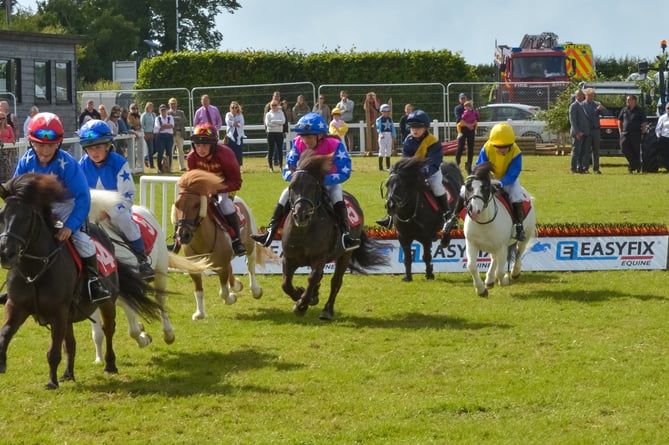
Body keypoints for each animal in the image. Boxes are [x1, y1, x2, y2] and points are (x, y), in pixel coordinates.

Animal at [0, 173, 161, 388]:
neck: (35, 271)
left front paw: (51, 382)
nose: (5, 253)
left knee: (108, 329)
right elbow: (5, 333)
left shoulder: (58, 312)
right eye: (1, 216)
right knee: (71, 343)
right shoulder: (17, 306)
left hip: (106, 302)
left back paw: (110, 365)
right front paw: (2, 363)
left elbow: (53, 351)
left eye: (26, 217)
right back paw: (68, 374)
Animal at [87, 192, 211, 364]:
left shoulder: (128, 297)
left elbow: (132, 330)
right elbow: (97, 334)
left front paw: (144, 339)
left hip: (160, 273)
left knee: (160, 301)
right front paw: (99, 359)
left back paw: (168, 333)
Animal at [172, 168, 276, 318]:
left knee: (250, 266)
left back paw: (255, 290)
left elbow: (224, 292)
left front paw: (231, 298)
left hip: (250, 246)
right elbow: (199, 290)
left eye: (196, 205)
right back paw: (237, 285)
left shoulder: (222, 266)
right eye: (177, 204)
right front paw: (200, 313)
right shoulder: (195, 268)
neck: (202, 239)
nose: (183, 234)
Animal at [280, 153, 386, 320]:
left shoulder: (320, 257)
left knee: (336, 281)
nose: (301, 215)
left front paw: (301, 304)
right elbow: (286, 284)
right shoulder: (289, 257)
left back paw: (327, 310)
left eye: (314, 186)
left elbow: (313, 278)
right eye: (292, 187)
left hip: (345, 255)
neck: (304, 230)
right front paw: (300, 294)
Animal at [462, 161, 536, 296]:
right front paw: (481, 290)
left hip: (525, 235)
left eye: (485, 187)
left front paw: (504, 280)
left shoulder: (502, 246)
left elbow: (500, 271)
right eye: (468, 186)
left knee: (519, 251)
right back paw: (490, 280)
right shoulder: (471, 243)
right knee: (495, 258)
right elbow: (472, 266)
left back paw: (515, 272)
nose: (474, 210)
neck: (484, 222)